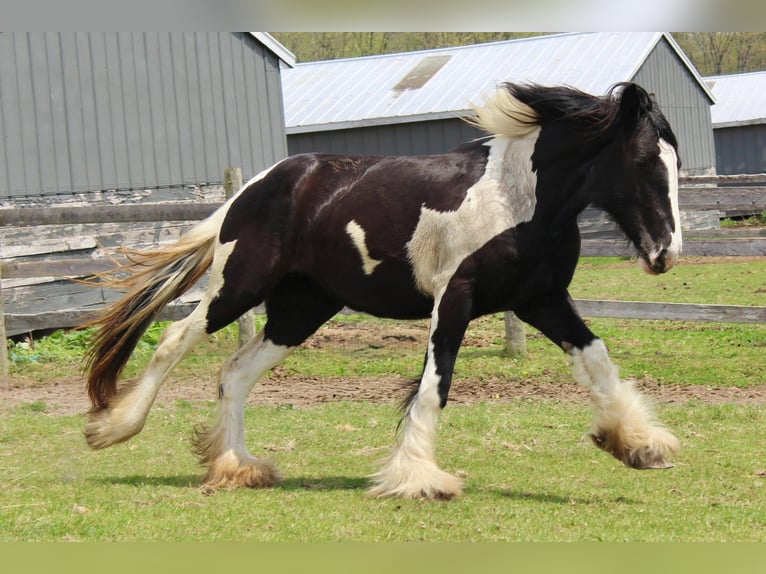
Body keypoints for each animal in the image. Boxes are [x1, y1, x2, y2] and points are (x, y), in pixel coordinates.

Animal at [83, 81, 682, 500]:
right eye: (643, 160)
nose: (665, 253)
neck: (518, 201)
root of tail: (253, 187)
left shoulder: (542, 300)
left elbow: (597, 357)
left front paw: (639, 444)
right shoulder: (455, 298)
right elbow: (436, 385)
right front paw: (419, 478)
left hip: (301, 310)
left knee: (235, 372)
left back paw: (238, 467)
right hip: (240, 285)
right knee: (177, 338)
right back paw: (113, 428)